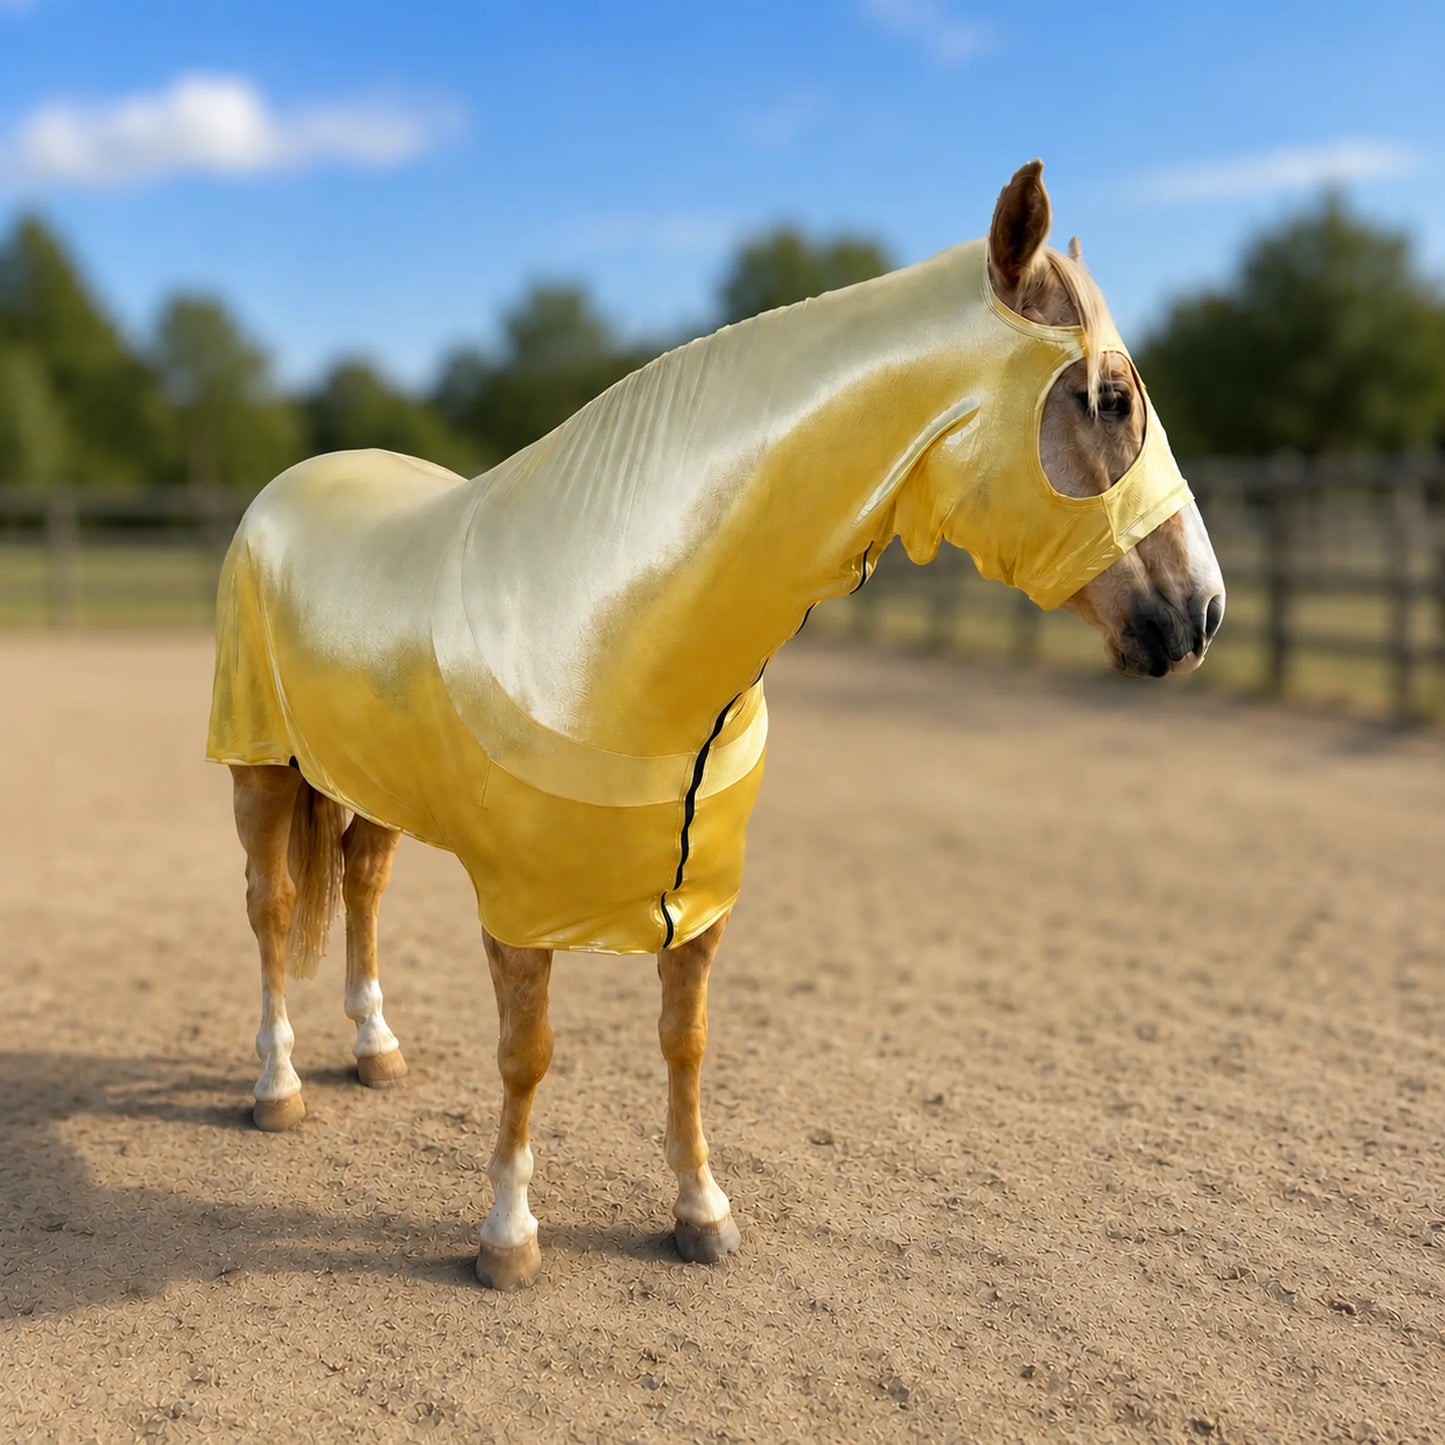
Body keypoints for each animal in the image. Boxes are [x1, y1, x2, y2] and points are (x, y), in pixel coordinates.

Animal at [209, 161, 1225, 1290]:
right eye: (1110, 397)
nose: (1200, 612)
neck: (610, 613)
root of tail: (291, 486)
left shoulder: (700, 901)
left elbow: (683, 1041)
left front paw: (701, 1211)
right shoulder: (518, 908)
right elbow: (527, 1053)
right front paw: (507, 1236)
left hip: (368, 782)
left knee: (364, 884)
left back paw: (374, 1051)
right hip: (260, 768)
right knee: (272, 906)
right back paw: (278, 1087)